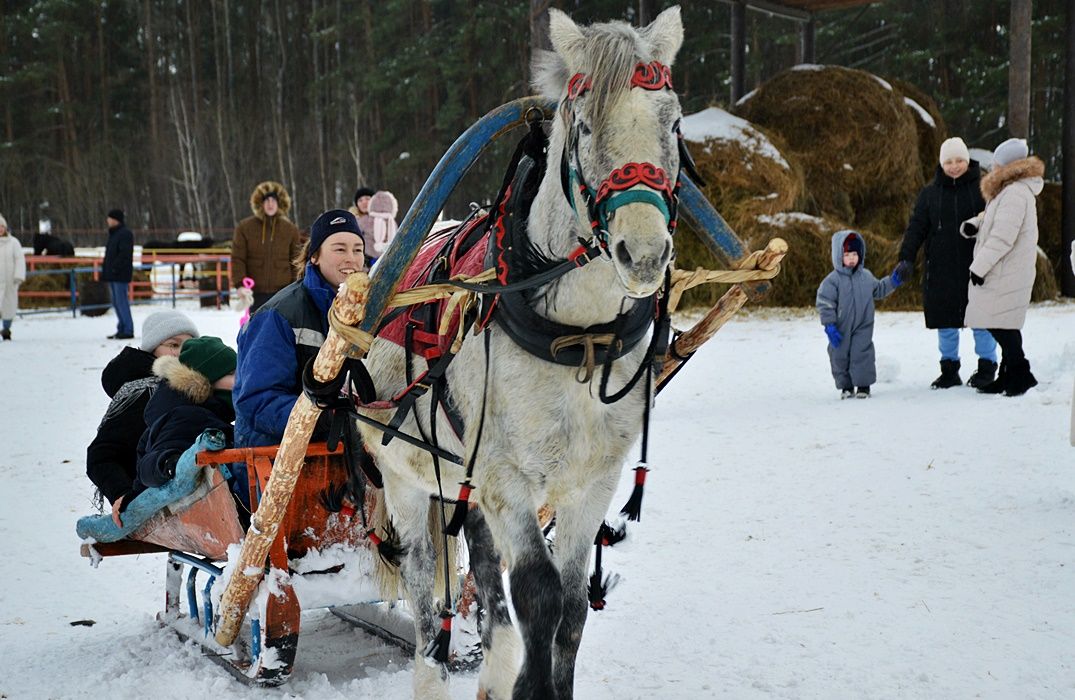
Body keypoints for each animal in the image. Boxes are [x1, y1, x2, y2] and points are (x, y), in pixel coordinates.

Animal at [356, 6, 683, 700]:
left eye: (672, 122)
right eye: (584, 127)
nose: (643, 254)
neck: (577, 341)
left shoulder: (592, 482)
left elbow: (572, 606)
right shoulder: (507, 477)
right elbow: (538, 595)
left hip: (465, 481)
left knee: (483, 576)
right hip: (405, 482)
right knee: (428, 602)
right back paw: (431, 669)